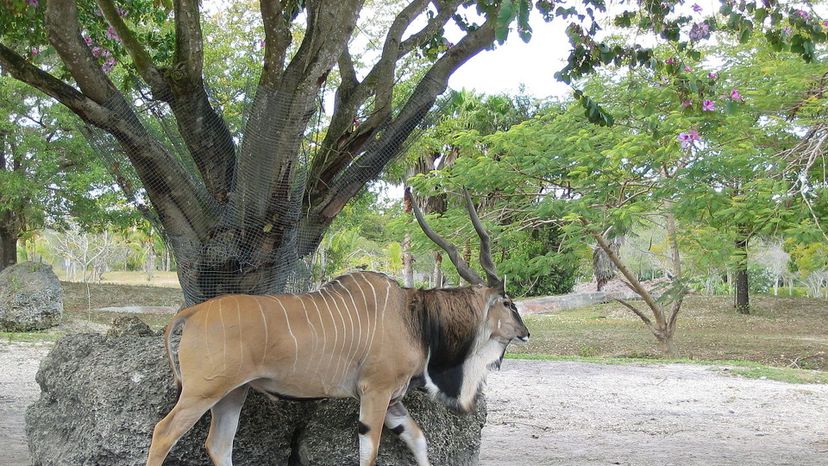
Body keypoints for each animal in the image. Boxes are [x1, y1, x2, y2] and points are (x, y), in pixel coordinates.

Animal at [146, 189, 528, 466]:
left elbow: (419, 439)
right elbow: (369, 453)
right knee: (164, 433)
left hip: (232, 393)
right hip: (202, 391)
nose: (525, 333)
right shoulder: (375, 392)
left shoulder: (392, 400)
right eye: (509, 302)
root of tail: (195, 311)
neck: (412, 316)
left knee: (219, 445)